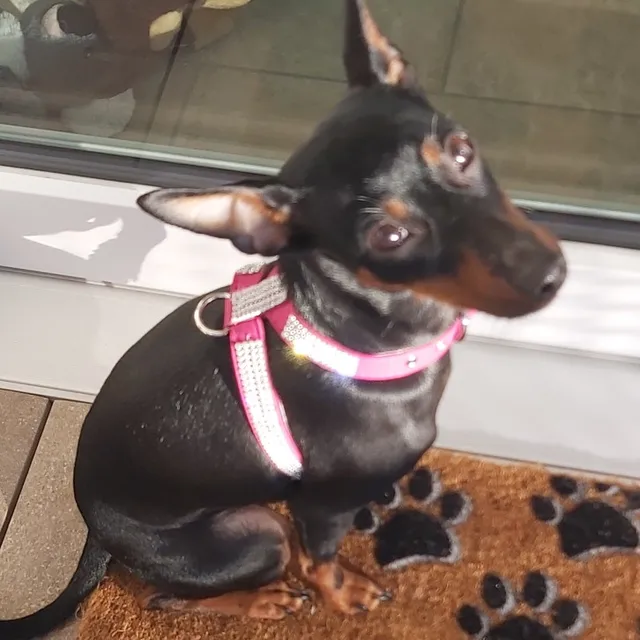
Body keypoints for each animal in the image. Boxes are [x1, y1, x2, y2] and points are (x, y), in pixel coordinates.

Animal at [0, 1, 567, 636]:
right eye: (389, 237)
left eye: (463, 151)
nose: (550, 274)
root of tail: (96, 533)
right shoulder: (319, 506)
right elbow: (319, 564)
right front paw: (344, 596)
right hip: (253, 533)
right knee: (161, 595)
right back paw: (262, 601)